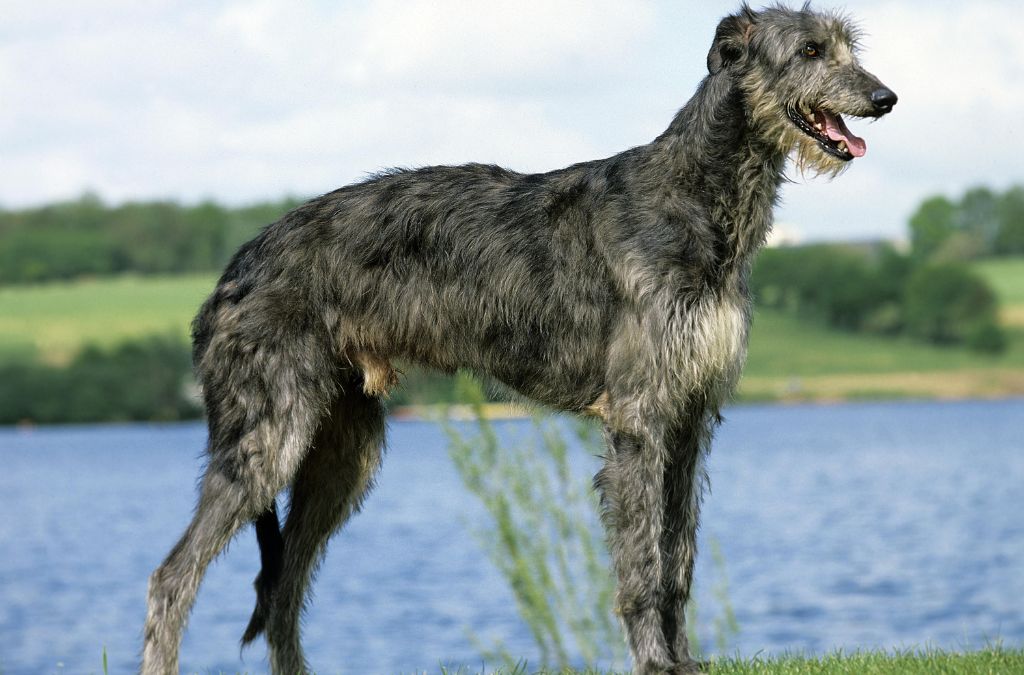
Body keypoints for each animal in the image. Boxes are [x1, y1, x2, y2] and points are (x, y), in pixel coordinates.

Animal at [142, 5, 897, 675]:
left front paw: (684, 659)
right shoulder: (639, 416)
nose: (885, 98)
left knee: (282, 589)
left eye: (847, 46)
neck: (698, 195)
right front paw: (655, 661)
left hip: (341, 452)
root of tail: (234, 269)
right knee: (172, 578)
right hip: (270, 432)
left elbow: (678, 557)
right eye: (808, 51)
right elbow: (643, 562)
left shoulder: (690, 417)